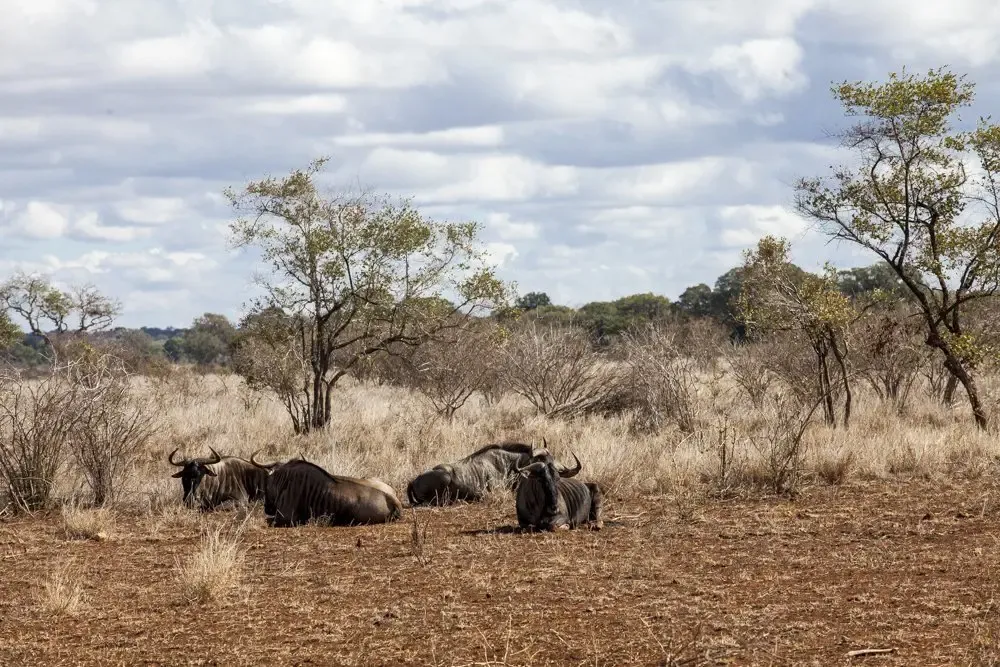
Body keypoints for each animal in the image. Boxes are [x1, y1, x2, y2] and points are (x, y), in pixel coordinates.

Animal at [249, 453, 402, 527]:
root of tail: (391, 497)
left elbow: (267, 520)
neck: (285, 479)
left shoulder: (285, 518)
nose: (267, 508)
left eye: (266, 484)